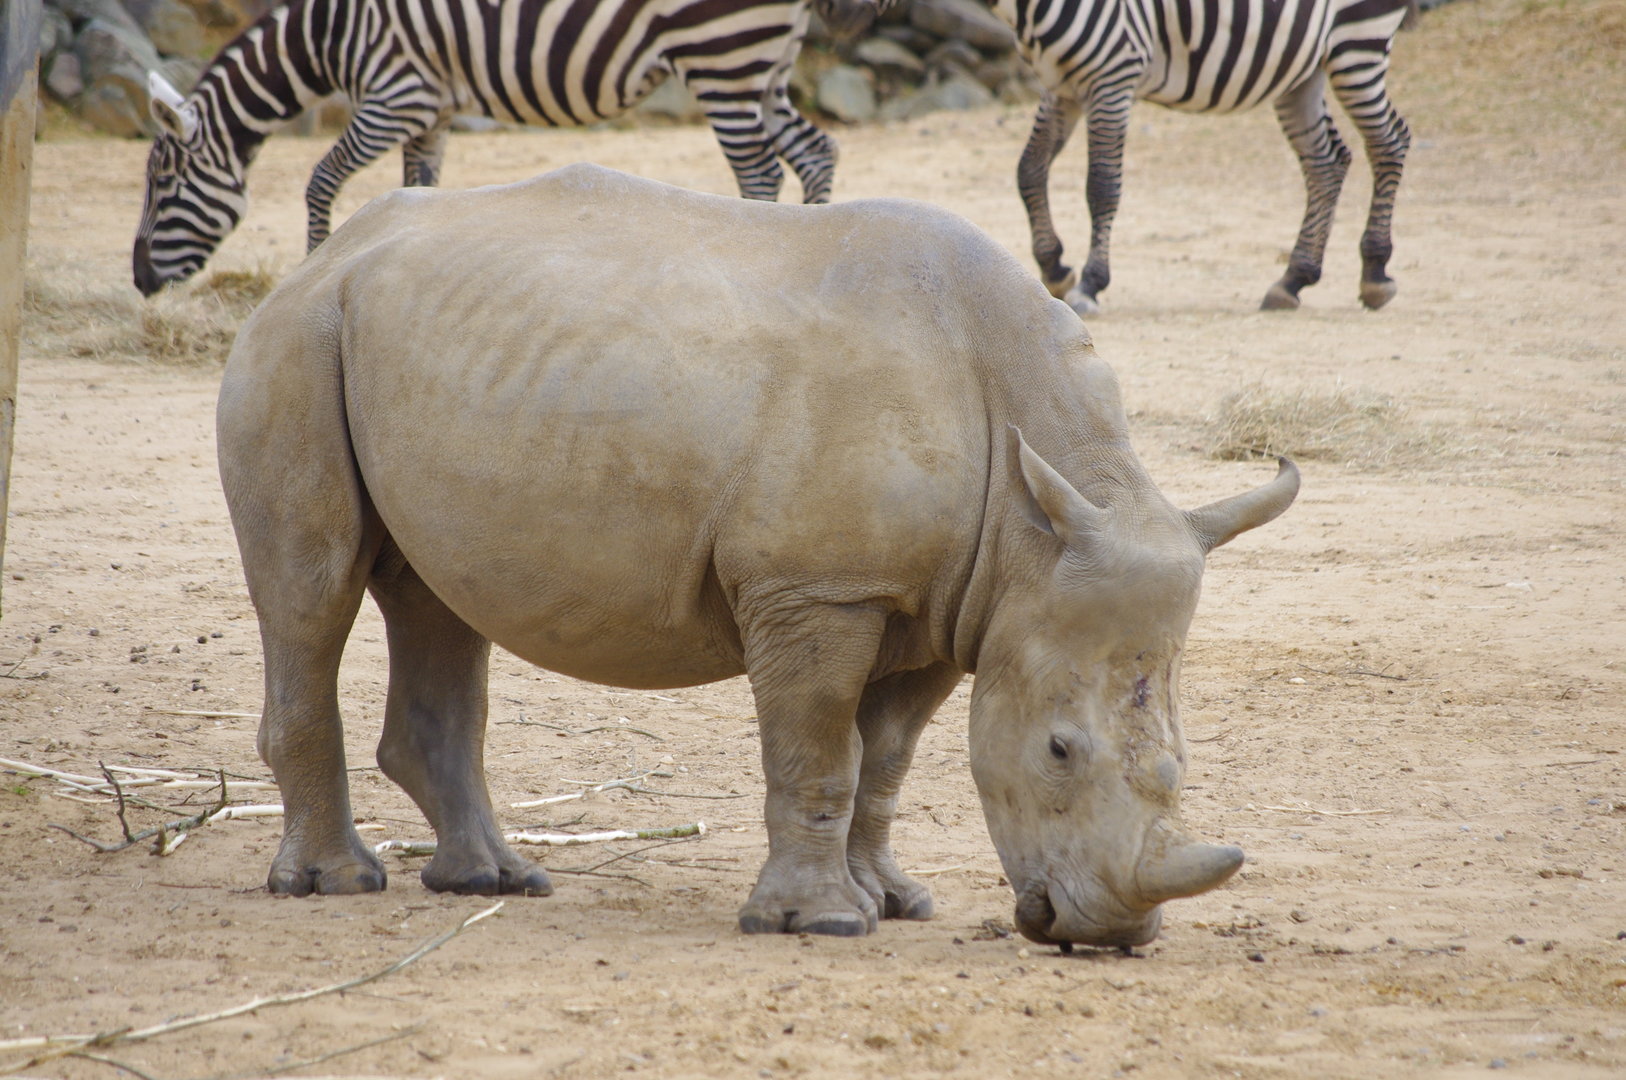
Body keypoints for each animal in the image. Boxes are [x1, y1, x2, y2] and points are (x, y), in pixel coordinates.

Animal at [217, 165, 1298, 947]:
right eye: (1060, 750)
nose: (1109, 932)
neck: (1036, 524)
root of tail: (326, 255)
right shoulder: (819, 588)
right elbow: (818, 748)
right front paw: (821, 923)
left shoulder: (952, 603)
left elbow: (885, 760)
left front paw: (891, 902)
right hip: (297, 341)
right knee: (312, 596)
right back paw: (333, 885)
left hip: (416, 345)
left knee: (440, 602)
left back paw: (499, 881)